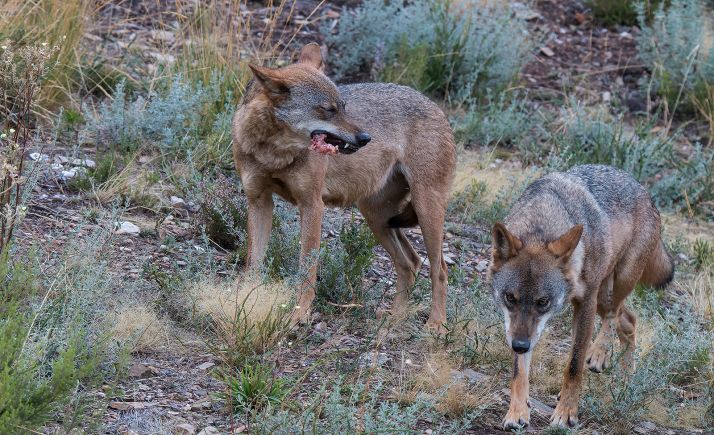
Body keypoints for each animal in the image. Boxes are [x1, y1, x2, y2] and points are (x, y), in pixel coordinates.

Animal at [231, 43, 456, 330]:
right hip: (377, 217)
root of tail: (437, 107)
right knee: (410, 263)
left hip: (426, 211)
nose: (365, 138)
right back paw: (394, 317)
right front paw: (248, 299)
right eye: (328, 110)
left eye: (344, 107)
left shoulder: (312, 205)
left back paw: (436, 324)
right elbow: (254, 261)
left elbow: (307, 270)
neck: (274, 154)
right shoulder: (258, 201)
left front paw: (299, 314)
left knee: (439, 270)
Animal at [487, 164, 674, 429]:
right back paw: (626, 378)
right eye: (510, 298)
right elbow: (519, 372)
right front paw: (517, 412)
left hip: (614, 286)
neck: (543, 223)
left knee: (614, 315)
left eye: (543, 302)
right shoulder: (516, 329)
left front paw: (566, 413)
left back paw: (599, 355)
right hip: (603, 297)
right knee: (629, 319)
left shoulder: (584, 303)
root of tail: (644, 190)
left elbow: (574, 366)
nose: (520, 346)